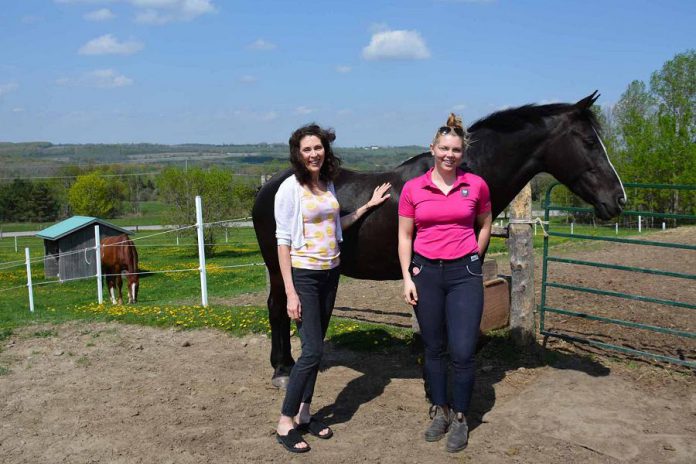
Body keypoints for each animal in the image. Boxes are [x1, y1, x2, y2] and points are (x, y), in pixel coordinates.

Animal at [251, 91, 624, 388]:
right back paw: (282, 370)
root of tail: (269, 187)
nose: (618, 198)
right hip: (277, 266)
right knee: (277, 308)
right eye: (590, 141)